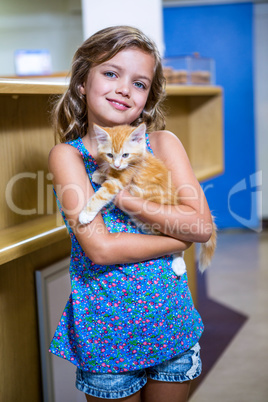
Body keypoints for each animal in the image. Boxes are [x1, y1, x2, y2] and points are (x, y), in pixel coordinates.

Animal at [78, 124, 217, 274]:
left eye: (125, 155)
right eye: (110, 155)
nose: (117, 165)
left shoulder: (120, 180)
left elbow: (101, 195)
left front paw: (86, 214)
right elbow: (107, 172)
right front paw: (100, 173)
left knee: (176, 240)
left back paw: (178, 264)